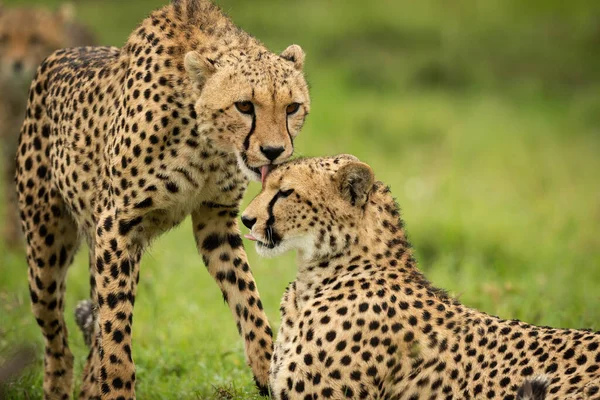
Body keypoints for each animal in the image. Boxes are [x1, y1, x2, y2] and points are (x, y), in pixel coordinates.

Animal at [15, 1, 310, 398]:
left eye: (292, 108)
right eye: (244, 106)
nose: (275, 151)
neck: (205, 140)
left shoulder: (215, 219)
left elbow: (247, 296)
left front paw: (267, 367)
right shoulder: (117, 223)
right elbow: (115, 324)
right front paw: (118, 387)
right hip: (46, 246)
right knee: (56, 334)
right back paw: (62, 384)